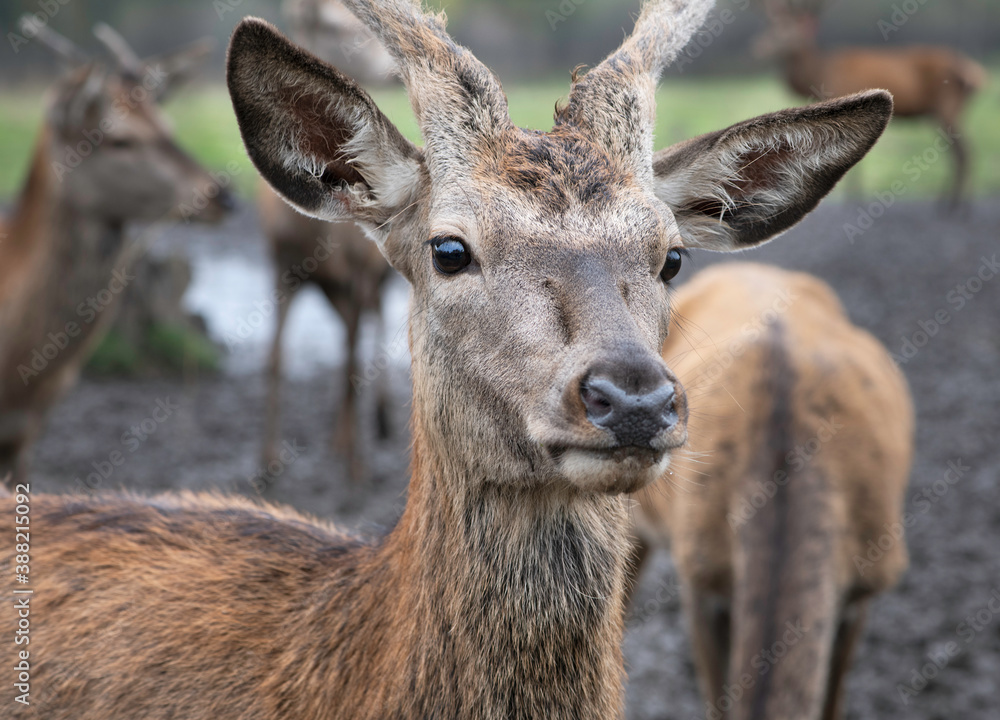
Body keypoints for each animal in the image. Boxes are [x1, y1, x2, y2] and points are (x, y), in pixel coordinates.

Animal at [258, 0, 398, 484]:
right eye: (336, 27)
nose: (394, 72)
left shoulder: (357, 269)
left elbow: (351, 361)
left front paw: (357, 466)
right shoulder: (280, 266)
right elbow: (276, 358)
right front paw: (268, 462)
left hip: (371, 276)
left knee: (371, 323)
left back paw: (376, 425)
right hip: (332, 286)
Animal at [760, 0, 988, 212]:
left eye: (788, 31)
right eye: (773, 26)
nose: (760, 47)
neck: (819, 76)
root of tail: (974, 73)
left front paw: (852, 200)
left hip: (946, 106)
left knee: (964, 151)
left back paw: (955, 206)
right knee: (963, 150)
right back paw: (955, 204)